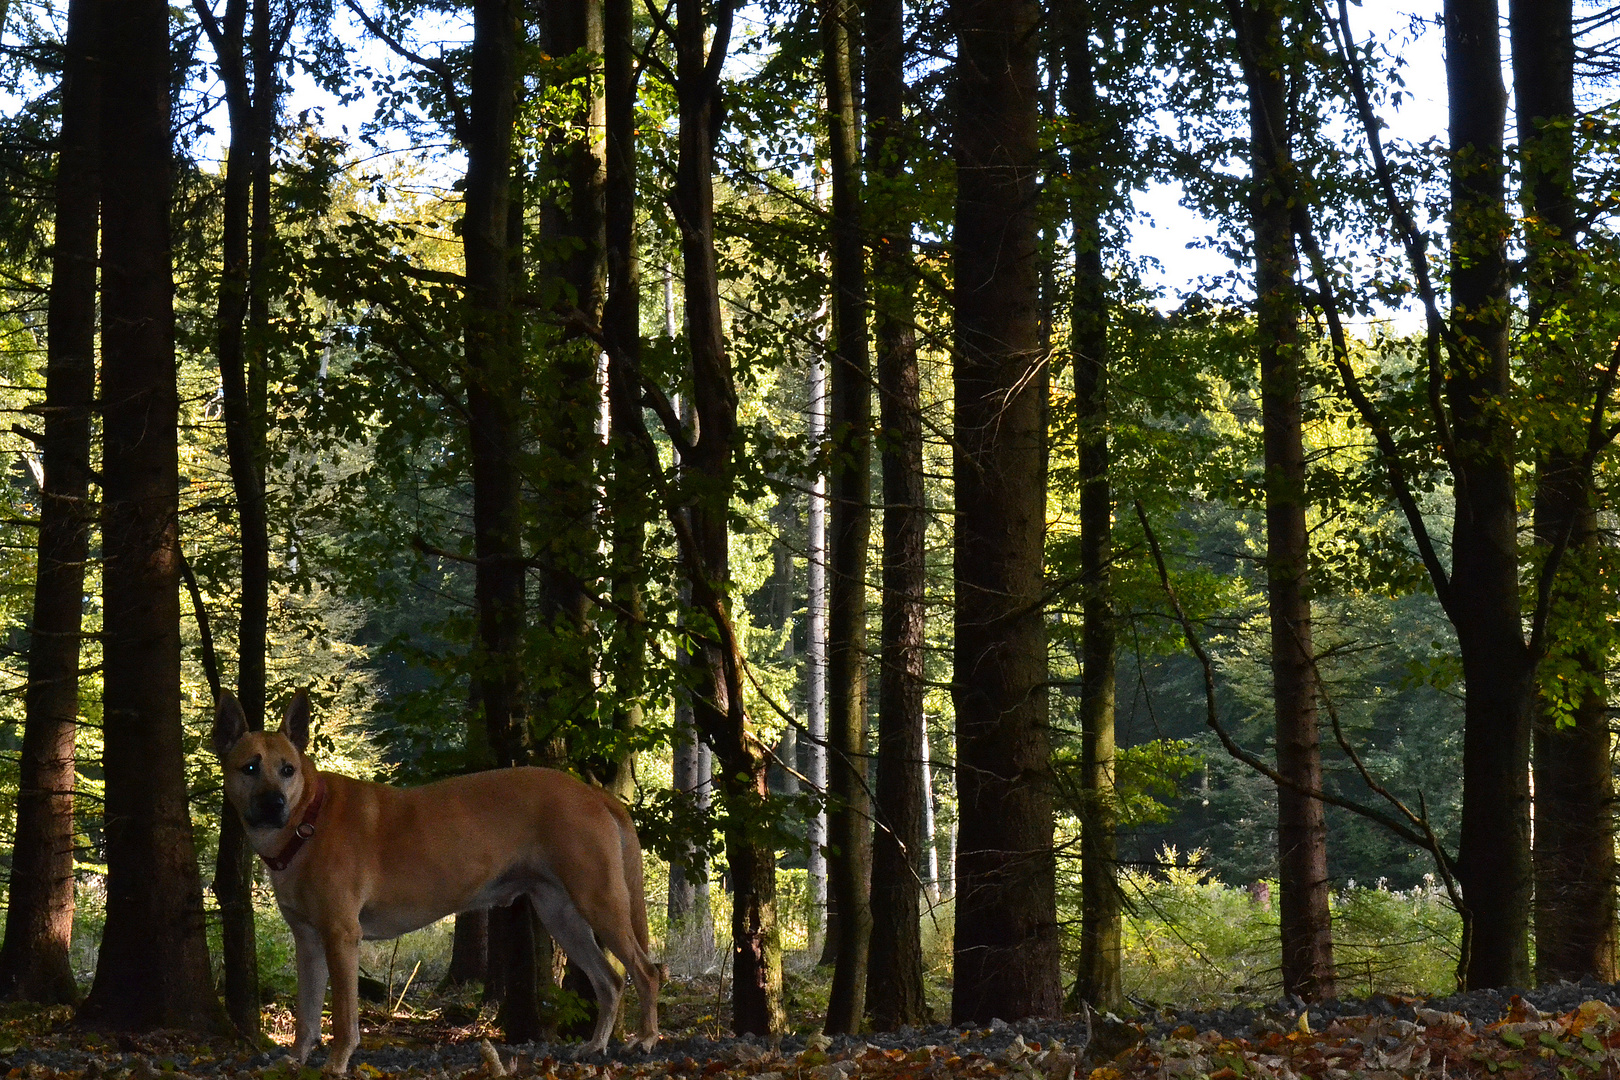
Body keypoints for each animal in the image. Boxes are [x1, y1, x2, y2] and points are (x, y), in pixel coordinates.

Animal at [213, 693, 657, 1075]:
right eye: (249, 767)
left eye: (287, 769)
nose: (273, 804)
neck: (307, 820)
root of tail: (593, 793)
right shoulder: (308, 940)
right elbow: (307, 1014)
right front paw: (297, 1059)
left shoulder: (340, 935)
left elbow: (341, 1017)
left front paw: (337, 1062)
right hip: (560, 915)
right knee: (609, 981)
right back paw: (596, 1045)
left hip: (599, 901)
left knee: (646, 971)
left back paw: (647, 1039)